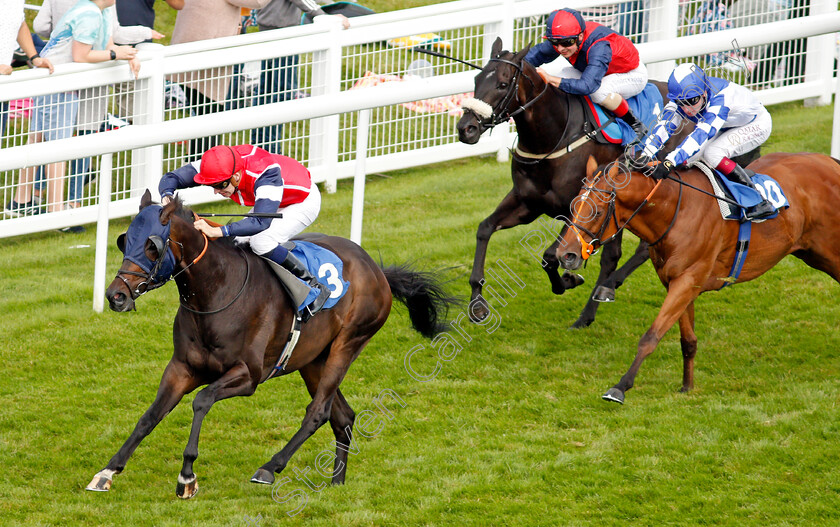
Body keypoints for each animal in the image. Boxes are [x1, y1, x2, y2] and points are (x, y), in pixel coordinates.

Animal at [88, 191, 456, 500]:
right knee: (343, 416)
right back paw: (336, 482)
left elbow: (202, 401)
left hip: (348, 343)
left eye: (152, 246)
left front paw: (187, 476)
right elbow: (149, 416)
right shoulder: (181, 368)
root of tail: (376, 270)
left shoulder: (248, 375)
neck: (217, 291)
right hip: (312, 360)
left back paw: (270, 468)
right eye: (124, 241)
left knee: (318, 412)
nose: (116, 296)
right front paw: (107, 471)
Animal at [456, 38, 756, 326]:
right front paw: (477, 304)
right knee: (641, 247)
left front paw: (568, 280)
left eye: (503, 83)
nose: (465, 128)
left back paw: (592, 307)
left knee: (616, 256)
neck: (553, 137)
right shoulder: (527, 202)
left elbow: (551, 255)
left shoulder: (580, 208)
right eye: (476, 80)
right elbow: (484, 229)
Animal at [556, 153, 840, 404]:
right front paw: (687, 386)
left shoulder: (686, 280)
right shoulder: (677, 283)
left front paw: (620, 387)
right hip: (812, 253)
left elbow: (651, 336)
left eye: (596, 210)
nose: (565, 255)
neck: (674, 210)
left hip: (831, 253)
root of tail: (829, 161)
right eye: (573, 205)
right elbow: (687, 340)